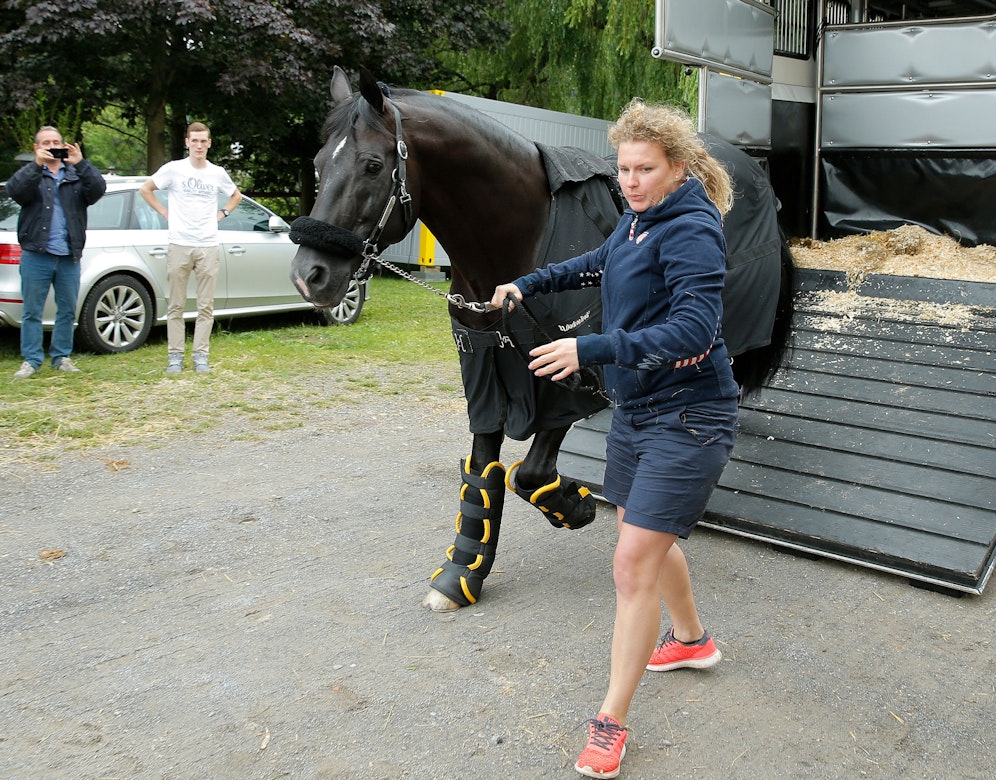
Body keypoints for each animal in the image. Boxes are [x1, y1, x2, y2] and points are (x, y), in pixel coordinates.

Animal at [290, 67, 792, 612]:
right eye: (318, 164)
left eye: (373, 165)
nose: (309, 276)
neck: (514, 235)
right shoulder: (485, 376)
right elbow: (484, 473)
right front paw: (462, 572)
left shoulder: (563, 382)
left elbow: (528, 472)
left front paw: (573, 505)